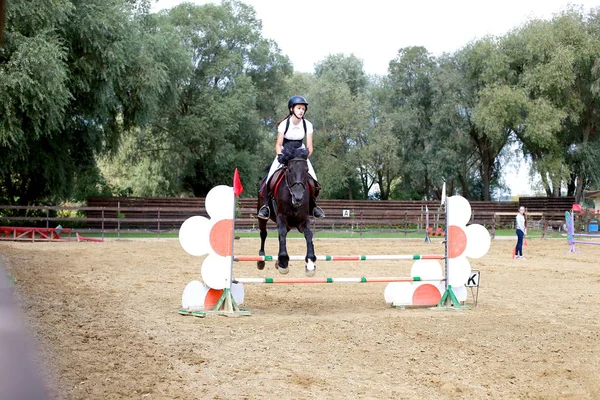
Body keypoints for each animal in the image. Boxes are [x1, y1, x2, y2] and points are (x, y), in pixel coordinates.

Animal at [255, 148, 316, 278]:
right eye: (290, 169)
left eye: (306, 170)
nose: (298, 198)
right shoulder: (281, 217)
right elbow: (281, 233)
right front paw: (283, 260)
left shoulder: (303, 221)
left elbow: (309, 235)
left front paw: (310, 262)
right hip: (262, 216)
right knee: (263, 233)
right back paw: (261, 259)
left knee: (280, 236)